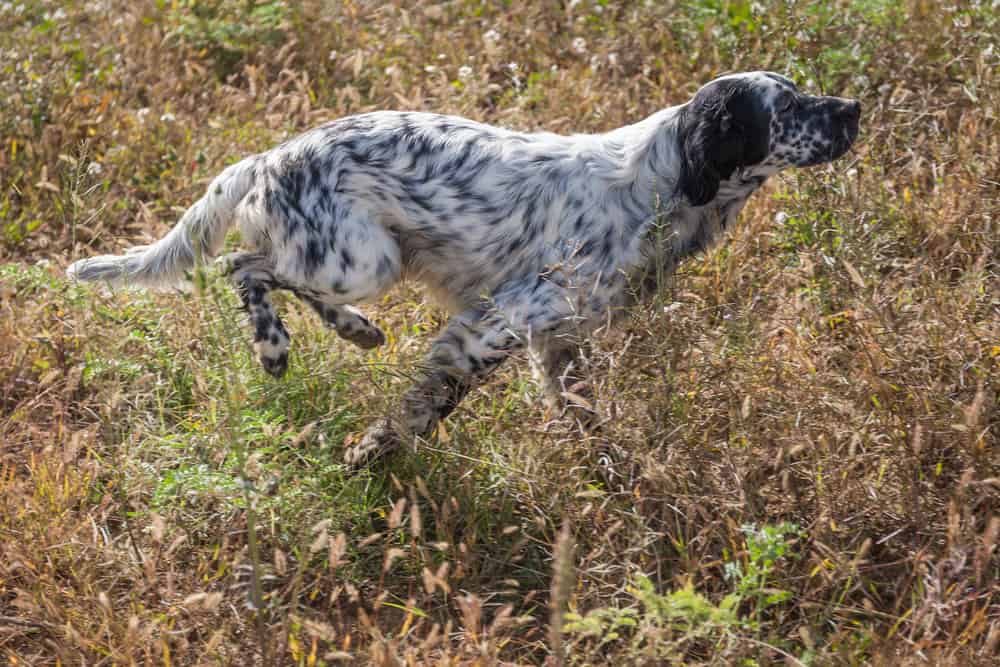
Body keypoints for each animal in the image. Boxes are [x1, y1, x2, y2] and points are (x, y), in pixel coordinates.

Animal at [70, 68, 860, 464]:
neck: (662, 183)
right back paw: (276, 346)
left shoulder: (560, 341)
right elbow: (429, 405)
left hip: (366, 258)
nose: (853, 108)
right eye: (788, 106)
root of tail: (268, 156)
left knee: (265, 269)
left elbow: (585, 417)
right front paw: (374, 450)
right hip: (363, 258)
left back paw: (356, 331)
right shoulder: (497, 322)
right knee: (245, 265)